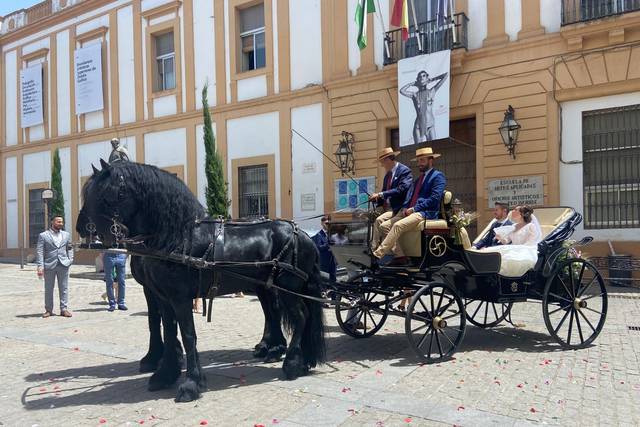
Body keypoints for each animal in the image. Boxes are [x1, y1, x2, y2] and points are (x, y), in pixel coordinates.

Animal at [75, 160, 324, 402]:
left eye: (109, 194)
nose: (83, 228)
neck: (177, 239)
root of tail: (303, 235)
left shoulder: (180, 298)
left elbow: (188, 335)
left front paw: (191, 384)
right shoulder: (163, 297)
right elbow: (166, 329)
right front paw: (165, 373)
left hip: (288, 289)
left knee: (300, 316)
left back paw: (292, 363)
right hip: (270, 287)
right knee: (279, 313)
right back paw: (291, 356)